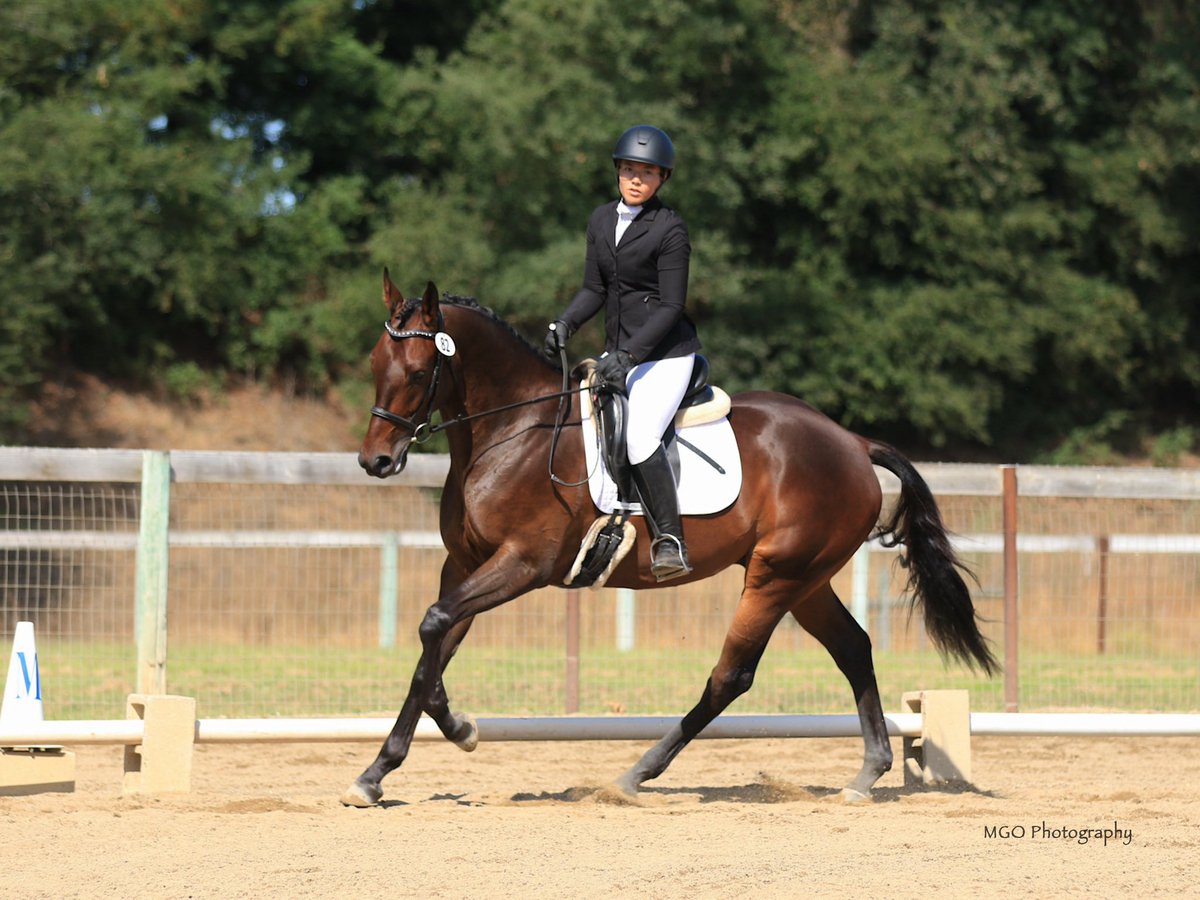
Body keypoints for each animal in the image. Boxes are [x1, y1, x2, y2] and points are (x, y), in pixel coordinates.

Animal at [343, 270, 997, 808]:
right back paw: (866, 774)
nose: (376, 461)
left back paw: (636, 774)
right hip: (806, 581)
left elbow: (433, 627)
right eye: (375, 365)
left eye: (419, 373)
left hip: (777, 576)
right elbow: (435, 645)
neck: (511, 431)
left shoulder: (522, 565)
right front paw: (376, 774)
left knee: (732, 675)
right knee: (854, 649)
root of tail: (853, 443)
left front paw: (460, 730)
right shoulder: (465, 565)